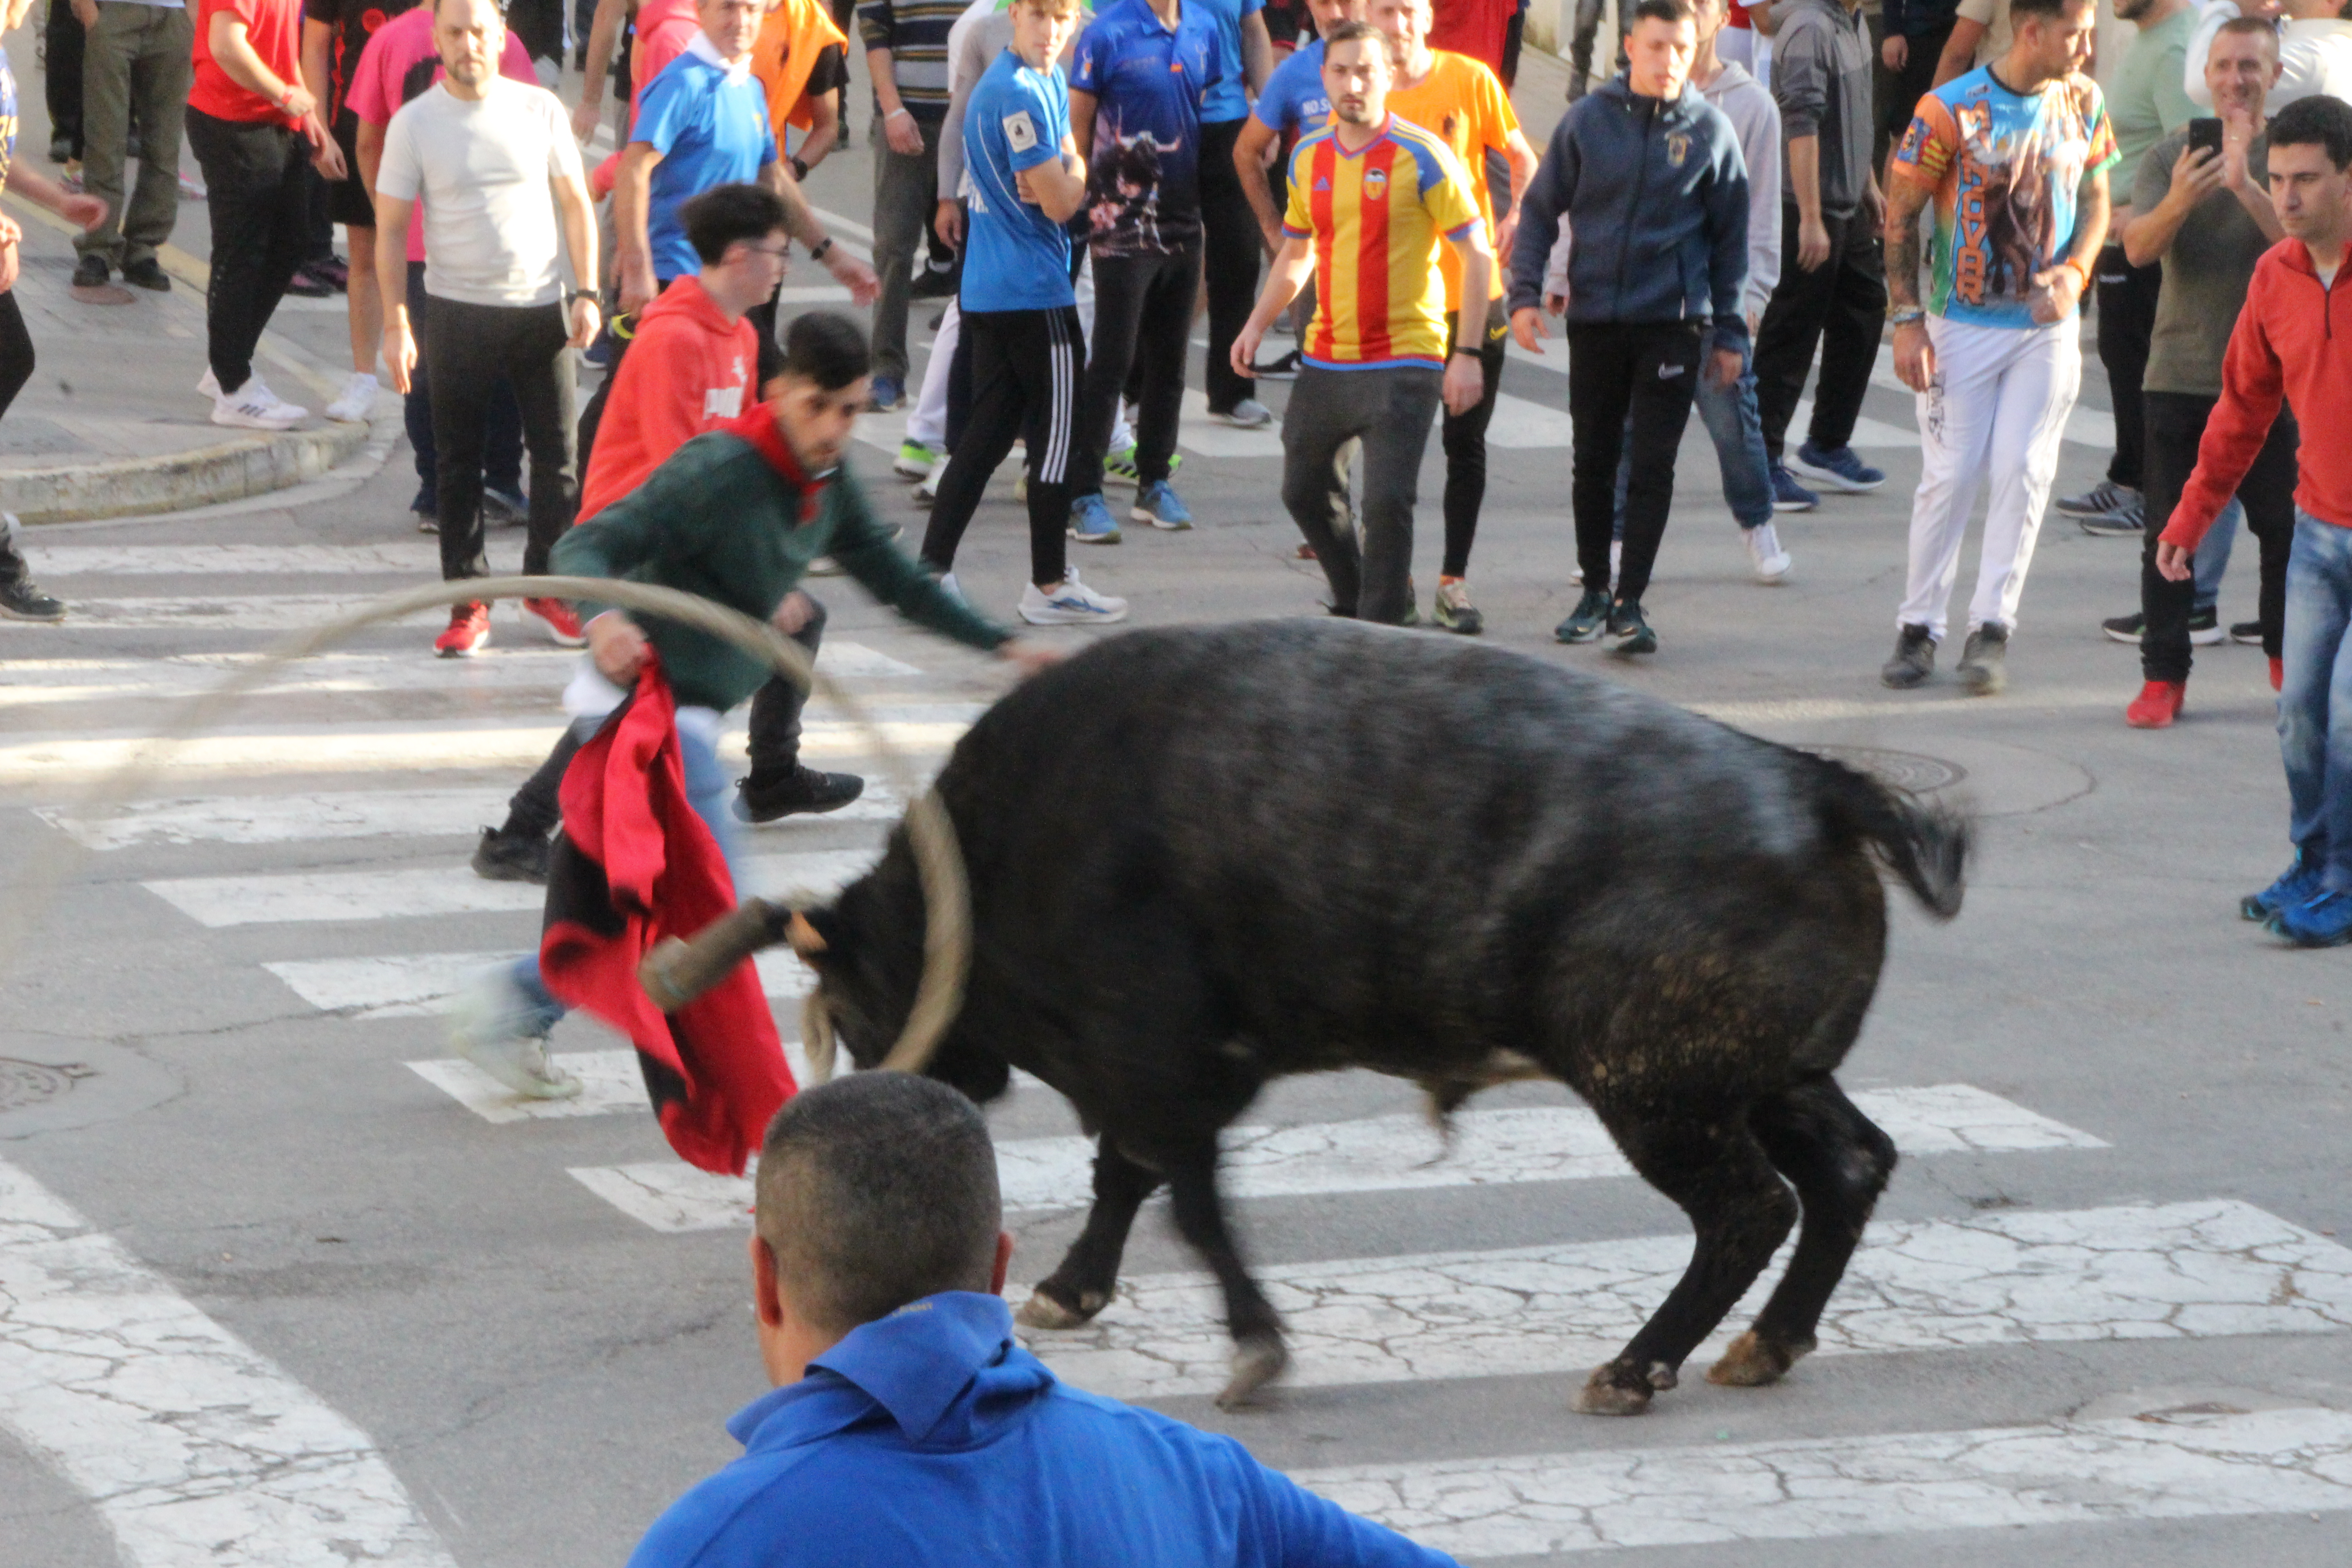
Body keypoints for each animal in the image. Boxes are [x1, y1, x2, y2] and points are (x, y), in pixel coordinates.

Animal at [781, 620, 1957, 1420]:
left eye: (860, 999)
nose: (901, 1091)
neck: (1007, 842)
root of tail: (1816, 787)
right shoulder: (1162, 1076)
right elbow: (1128, 1176)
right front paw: (1070, 1292)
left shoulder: (1159, 1065)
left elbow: (1184, 1198)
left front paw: (1254, 1350)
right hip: (1768, 1083)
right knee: (1847, 1167)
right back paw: (1768, 1344)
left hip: (1662, 1098)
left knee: (1748, 1209)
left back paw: (1633, 1368)